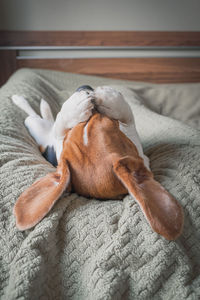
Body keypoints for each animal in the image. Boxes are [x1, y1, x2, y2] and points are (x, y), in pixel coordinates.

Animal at [11, 85, 184, 240]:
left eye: (103, 121)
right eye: (107, 122)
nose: (84, 87)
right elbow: (127, 117)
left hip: (38, 126)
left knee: (43, 119)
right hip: (35, 125)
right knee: (40, 118)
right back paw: (22, 100)